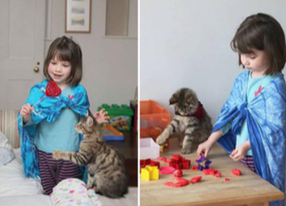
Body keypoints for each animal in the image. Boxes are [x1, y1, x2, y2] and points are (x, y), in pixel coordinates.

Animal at [18, 35, 108, 195]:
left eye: (65, 65)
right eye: (54, 63)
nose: (58, 70)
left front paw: (98, 117)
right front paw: (26, 112)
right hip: (43, 162)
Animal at [197, 13, 286, 205]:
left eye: (251, 55)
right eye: (241, 53)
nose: (245, 62)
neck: (260, 73)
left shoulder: (278, 97)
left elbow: (275, 129)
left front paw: (242, 149)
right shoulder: (234, 102)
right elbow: (227, 120)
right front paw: (206, 145)